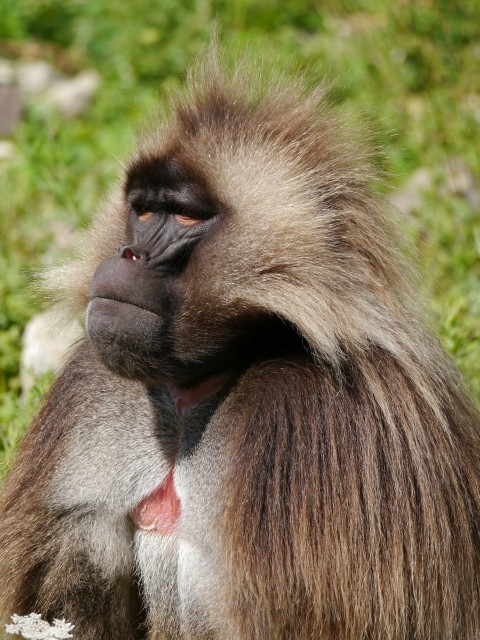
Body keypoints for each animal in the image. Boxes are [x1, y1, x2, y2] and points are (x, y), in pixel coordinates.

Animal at [1, 54, 480, 640]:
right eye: (143, 210)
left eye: (185, 216)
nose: (129, 255)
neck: (200, 383)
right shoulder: (92, 388)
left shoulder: (311, 420)